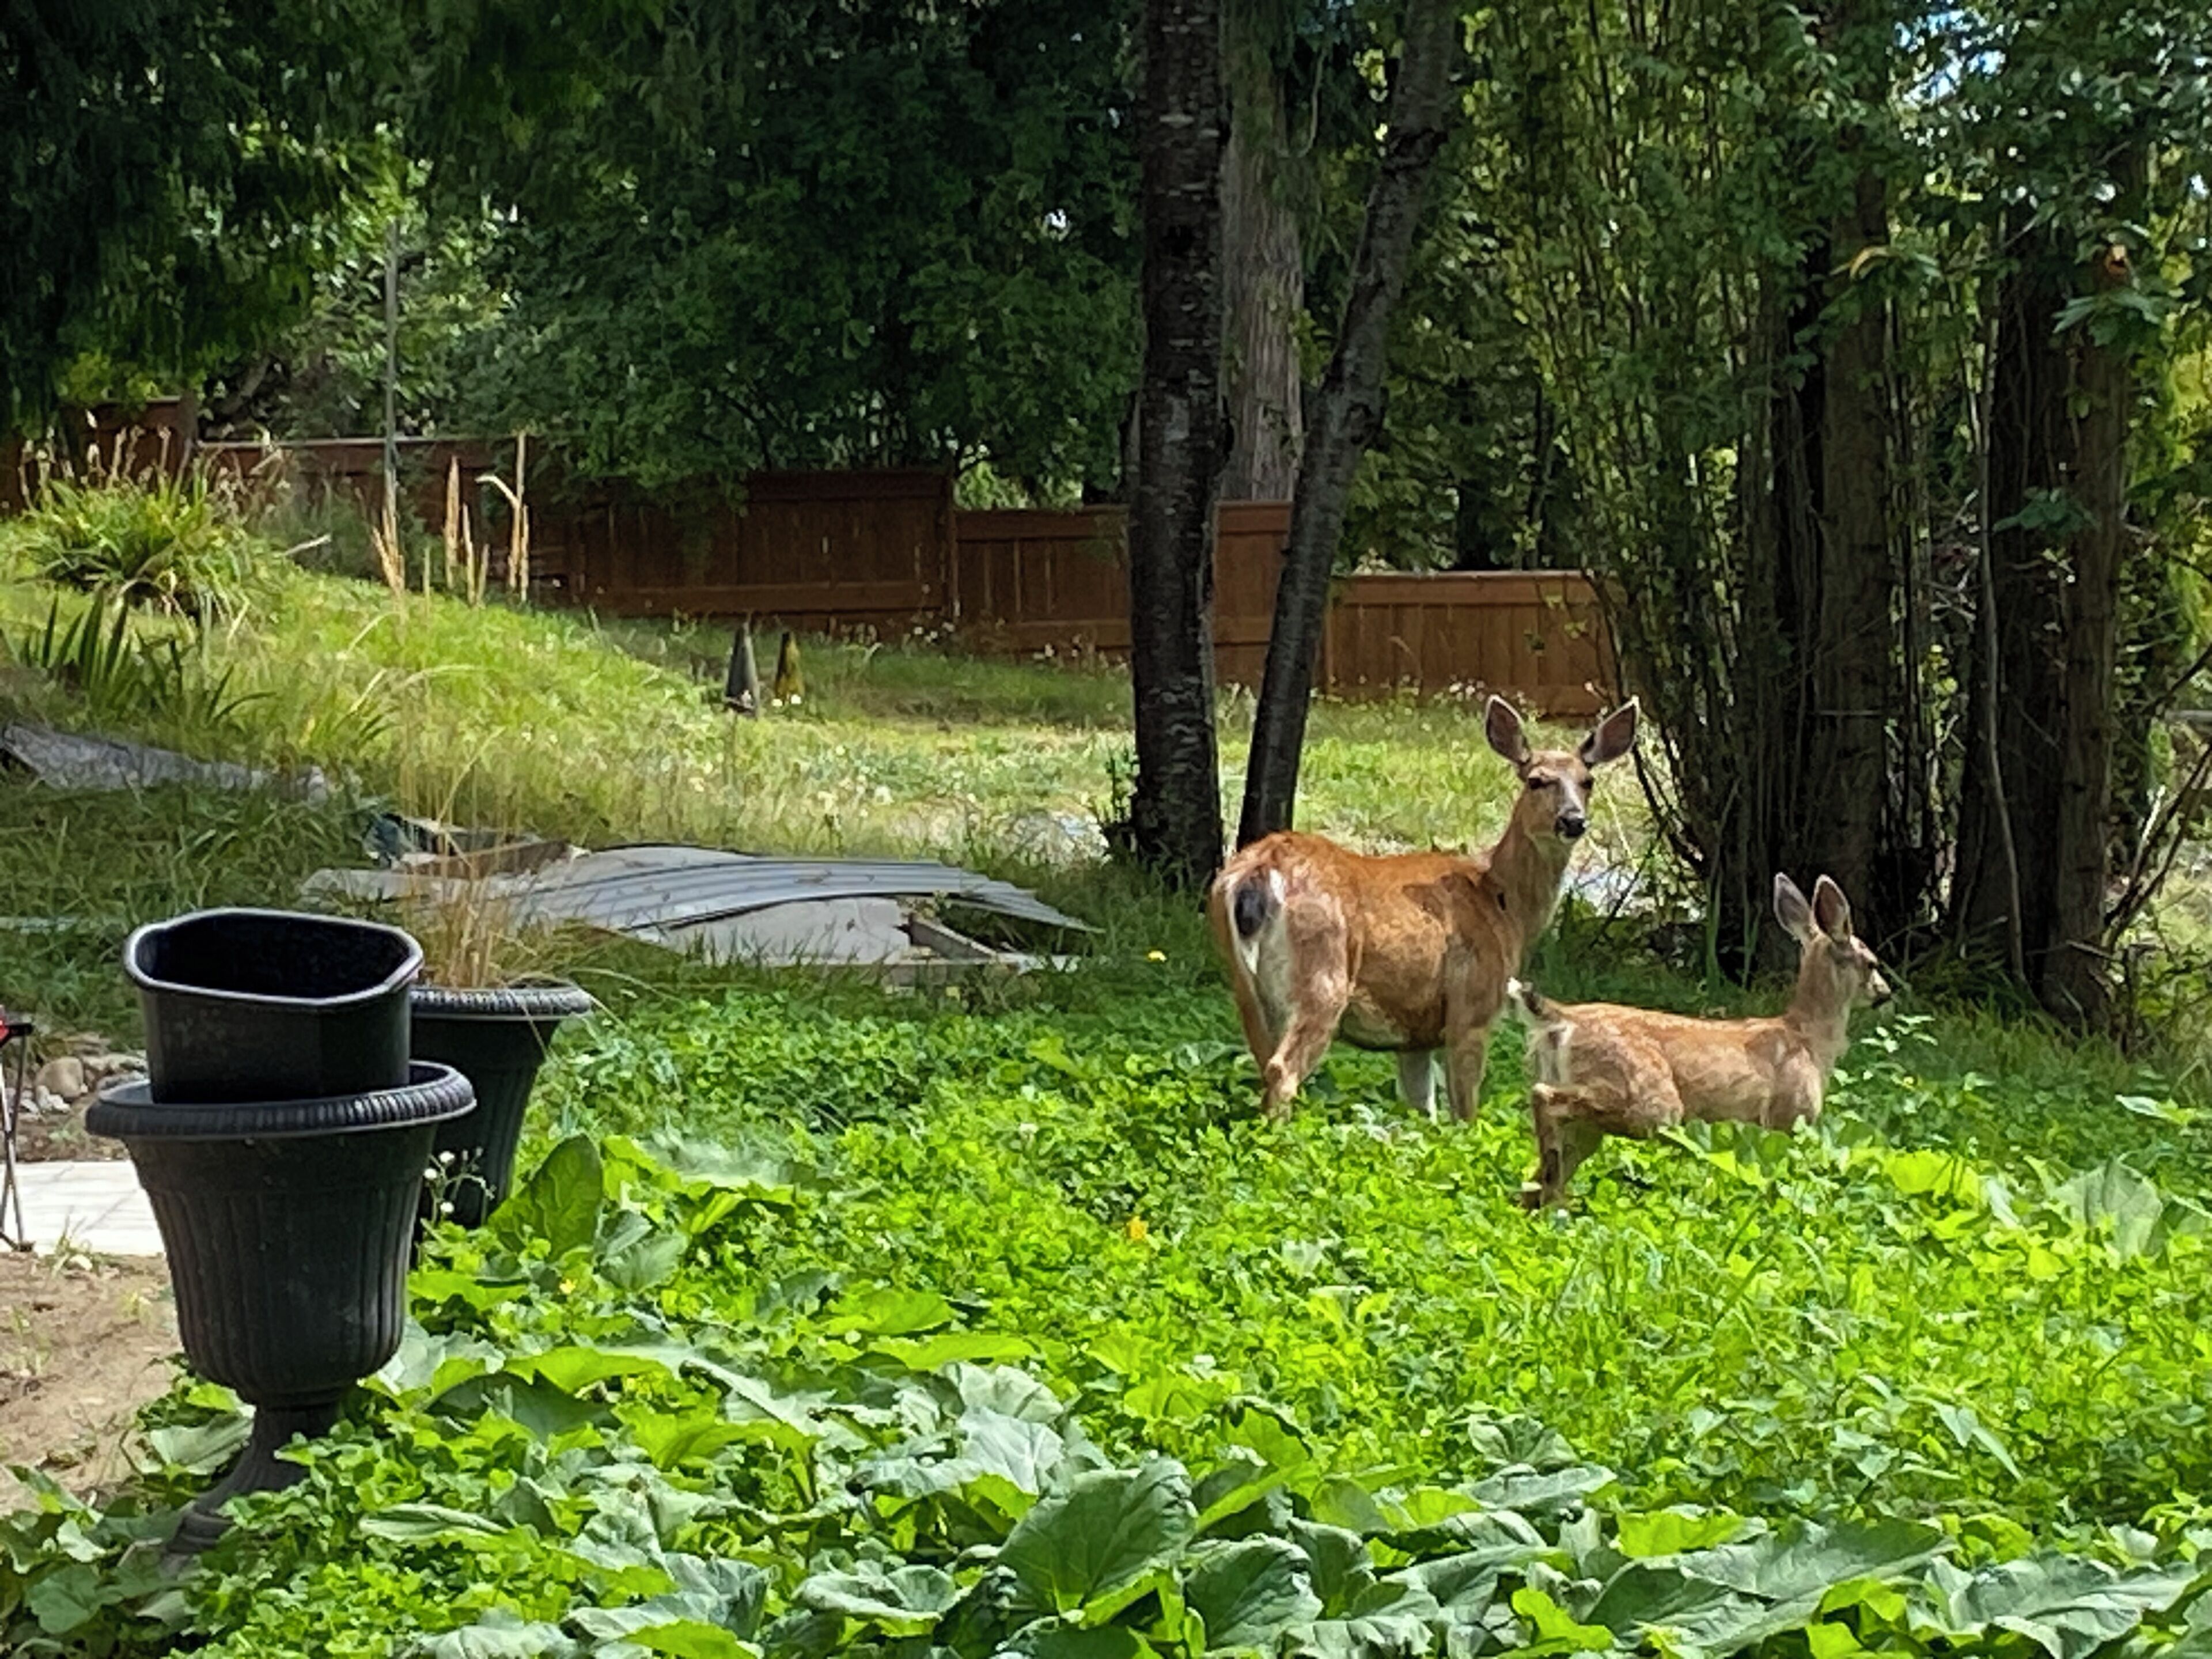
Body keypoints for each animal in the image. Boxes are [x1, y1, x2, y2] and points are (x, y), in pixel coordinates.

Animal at [1208, 695, 1640, 1122]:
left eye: (1587, 781)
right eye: (1536, 780)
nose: (1573, 820)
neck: (1503, 900)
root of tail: (1259, 870)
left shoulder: (1414, 1035)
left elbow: (1421, 1109)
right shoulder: (1472, 1007)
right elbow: (1464, 1112)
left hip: (1246, 986)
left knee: (1263, 1061)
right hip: (1323, 972)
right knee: (1283, 1069)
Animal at [1507, 872, 1892, 1209]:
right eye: (1872, 963)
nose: (1885, 994)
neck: (1808, 1039)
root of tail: (1563, 1020)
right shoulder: (1788, 1117)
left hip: (1591, 1125)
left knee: (1535, 1177)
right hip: (1645, 1098)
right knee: (1543, 1098)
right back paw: (1558, 1200)